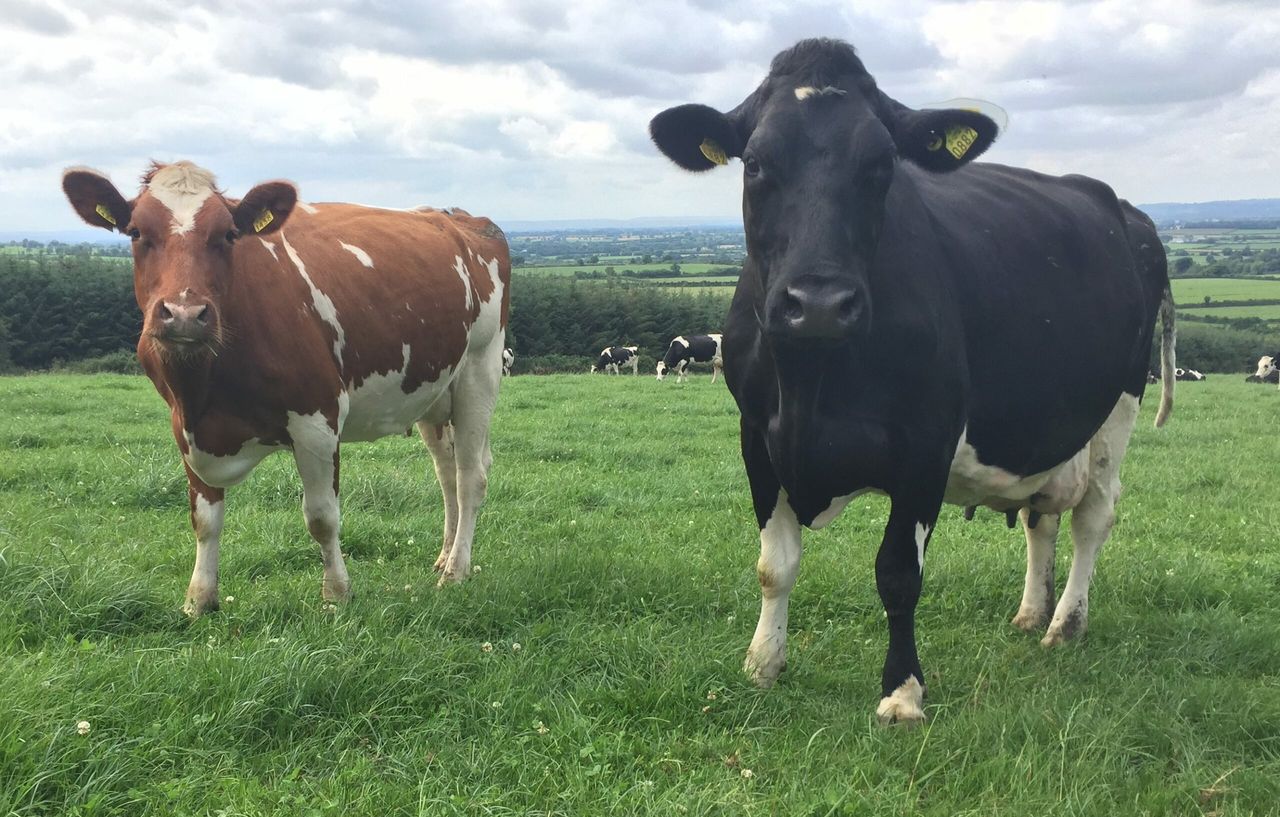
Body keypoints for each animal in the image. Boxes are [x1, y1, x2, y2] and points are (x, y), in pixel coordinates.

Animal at [61, 161, 510, 615]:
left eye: (228, 234)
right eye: (136, 232)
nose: (184, 314)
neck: (207, 388)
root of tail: (458, 216)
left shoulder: (317, 419)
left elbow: (321, 517)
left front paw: (336, 594)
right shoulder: (186, 427)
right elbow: (205, 521)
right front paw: (199, 599)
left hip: (480, 368)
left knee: (470, 476)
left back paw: (456, 571)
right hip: (434, 393)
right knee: (446, 472)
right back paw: (444, 556)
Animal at [650, 38, 1175, 724]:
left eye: (882, 165)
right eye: (756, 163)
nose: (819, 304)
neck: (810, 387)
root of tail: (1128, 212)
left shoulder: (927, 443)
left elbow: (898, 574)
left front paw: (902, 691)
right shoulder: (756, 438)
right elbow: (774, 565)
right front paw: (763, 664)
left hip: (1118, 407)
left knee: (1094, 515)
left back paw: (1066, 624)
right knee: (1042, 517)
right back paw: (1031, 613)